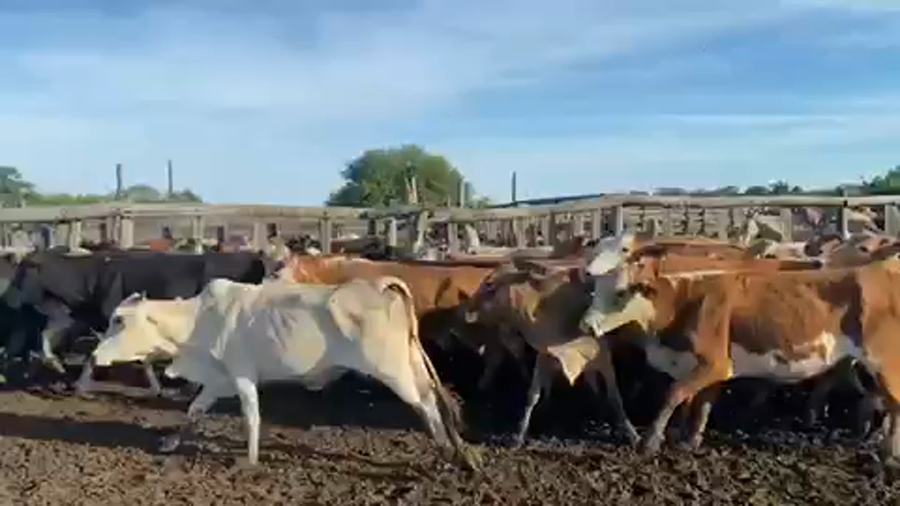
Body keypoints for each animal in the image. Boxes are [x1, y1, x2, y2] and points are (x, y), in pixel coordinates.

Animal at [100, 277, 482, 470]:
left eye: (118, 320)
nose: (93, 354)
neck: (198, 321)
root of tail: (379, 283)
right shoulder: (219, 379)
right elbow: (195, 410)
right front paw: (170, 442)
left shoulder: (242, 375)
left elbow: (251, 416)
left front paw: (250, 460)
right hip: (409, 360)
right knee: (433, 397)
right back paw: (455, 452)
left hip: (391, 369)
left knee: (424, 403)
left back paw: (448, 452)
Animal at [580, 251, 900, 465]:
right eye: (595, 290)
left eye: (621, 292)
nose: (586, 325)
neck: (686, 301)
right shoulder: (715, 369)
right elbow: (701, 405)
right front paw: (689, 440)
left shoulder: (712, 364)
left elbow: (675, 394)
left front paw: (650, 441)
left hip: (883, 361)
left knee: (894, 403)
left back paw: (888, 454)